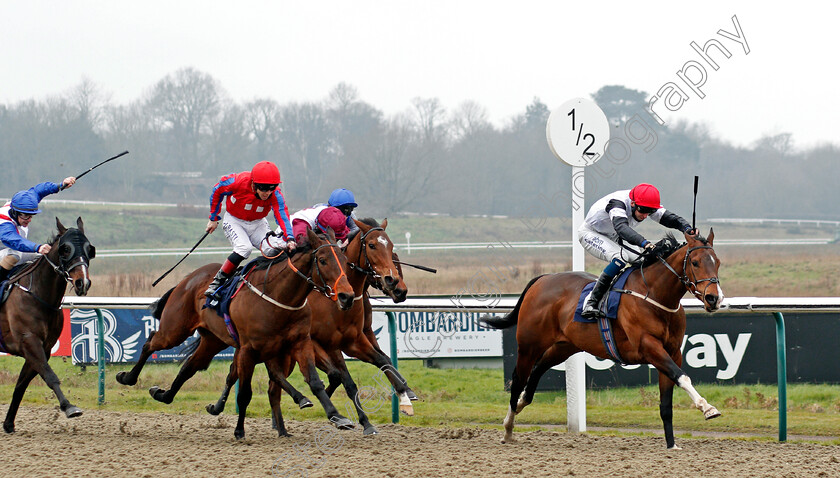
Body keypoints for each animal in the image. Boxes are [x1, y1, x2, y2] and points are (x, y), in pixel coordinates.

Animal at [0, 218, 93, 436]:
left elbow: (21, 385)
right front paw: (69, 407)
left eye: (89, 249)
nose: (82, 283)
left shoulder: (44, 347)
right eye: (65, 249)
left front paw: (8, 423)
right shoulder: (30, 342)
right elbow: (50, 376)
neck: (38, 295)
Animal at [115, 230, 354, 438]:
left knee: (189, 367)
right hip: (174, 330)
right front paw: (239, 431)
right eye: (322, 260)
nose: (347, 296)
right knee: (150, 342)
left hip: (213, 341)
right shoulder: (249, 350)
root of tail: (187, 279)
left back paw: (162, 394)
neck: (280, 297)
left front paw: (337, 416)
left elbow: (314, 381)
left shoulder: (298, 343)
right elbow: (245, 392)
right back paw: (127, 377)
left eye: (344, 260)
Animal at [208, 218, 416, 436]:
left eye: (391, 247)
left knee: (268, 383)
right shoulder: (321, 343)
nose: (397, 286)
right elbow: (343, 379)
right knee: (241, 373)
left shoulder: (354, 339)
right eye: (372, 245)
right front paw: (348, 417)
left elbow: (382, 360)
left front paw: (404, 397)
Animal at [482, 231, 724, 448]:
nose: (714, 298)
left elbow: (667, 401)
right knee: (518, 379)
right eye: (695, 262)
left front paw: (672, 445)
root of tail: (543, 279)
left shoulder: (672, 352)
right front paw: (707, 407)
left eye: (718, 262)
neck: (655, 296)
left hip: (564, 346)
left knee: (539, 368)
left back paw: (522, 402)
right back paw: (508, 429)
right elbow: (682, 377)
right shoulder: (649, 347)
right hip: (529, 345)